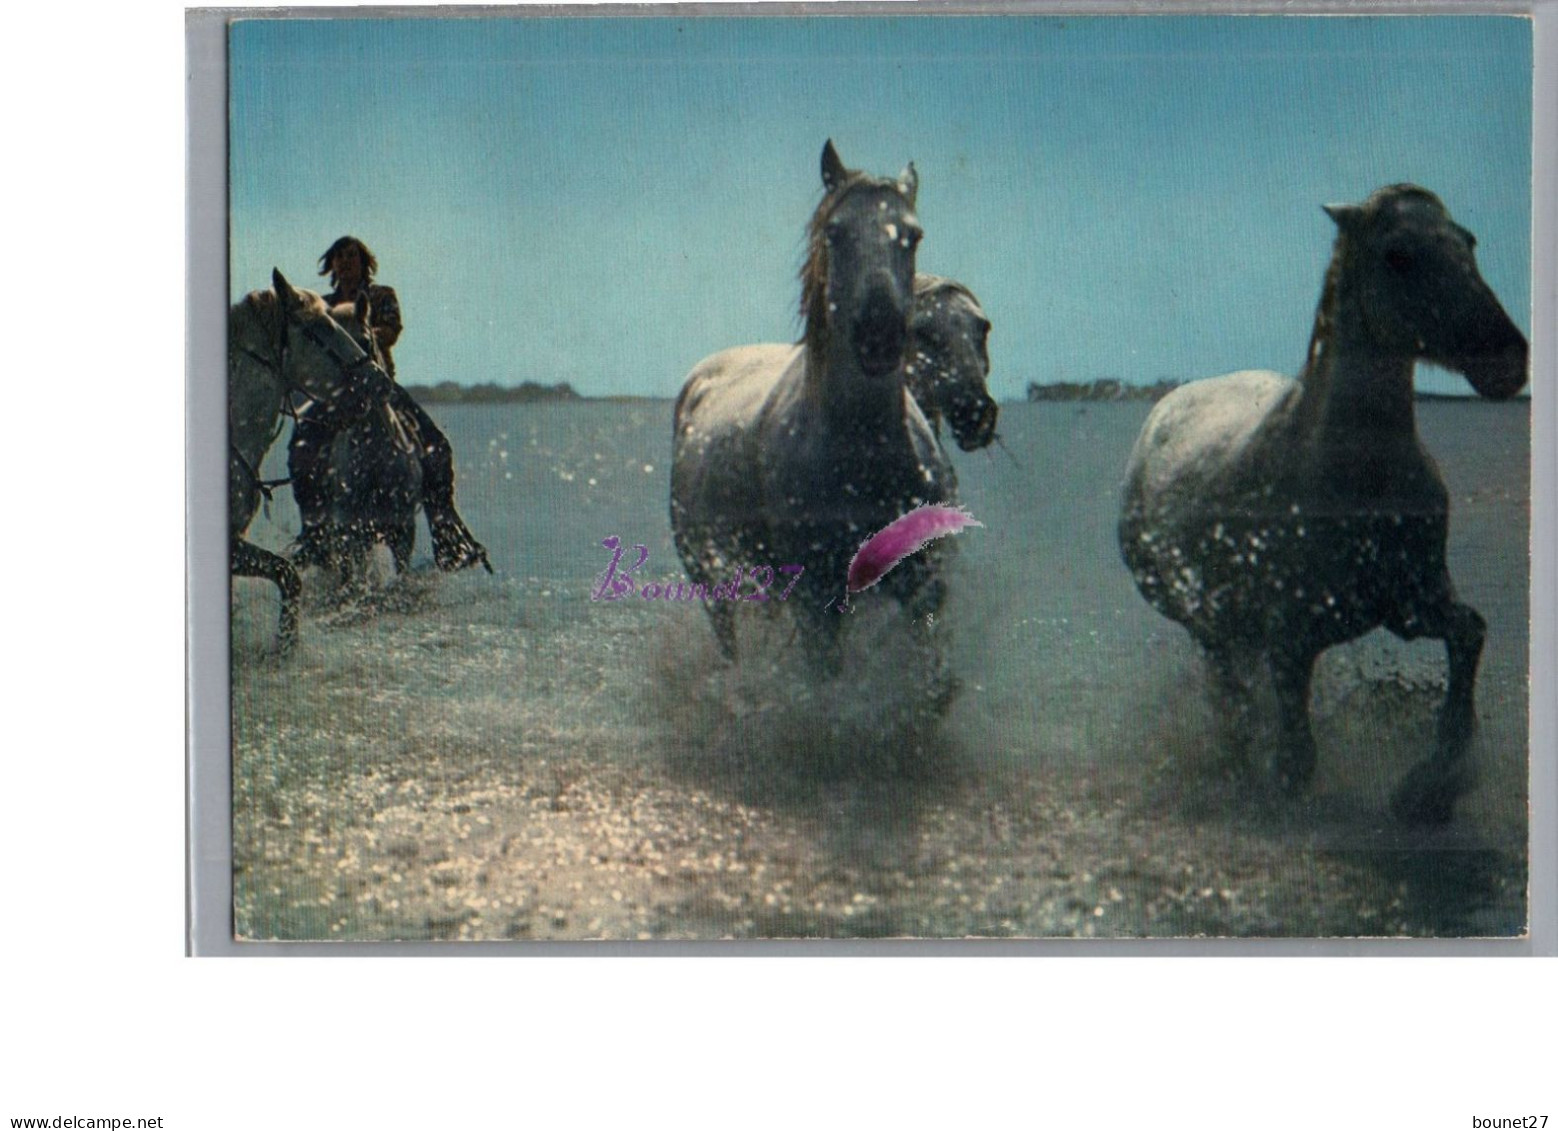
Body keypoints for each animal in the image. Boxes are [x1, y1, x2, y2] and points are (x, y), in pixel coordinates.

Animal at [1121, 183, 1533, 822]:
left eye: (1467, 241)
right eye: (1398, 254)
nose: (1507, 358)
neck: (1352, 478)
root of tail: (1165, 410)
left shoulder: (1414, 604)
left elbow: (1470, 634)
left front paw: (1431, 784)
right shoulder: (1290, 636)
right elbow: (1294, 758)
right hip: (1206, 624)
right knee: (1228, 691)